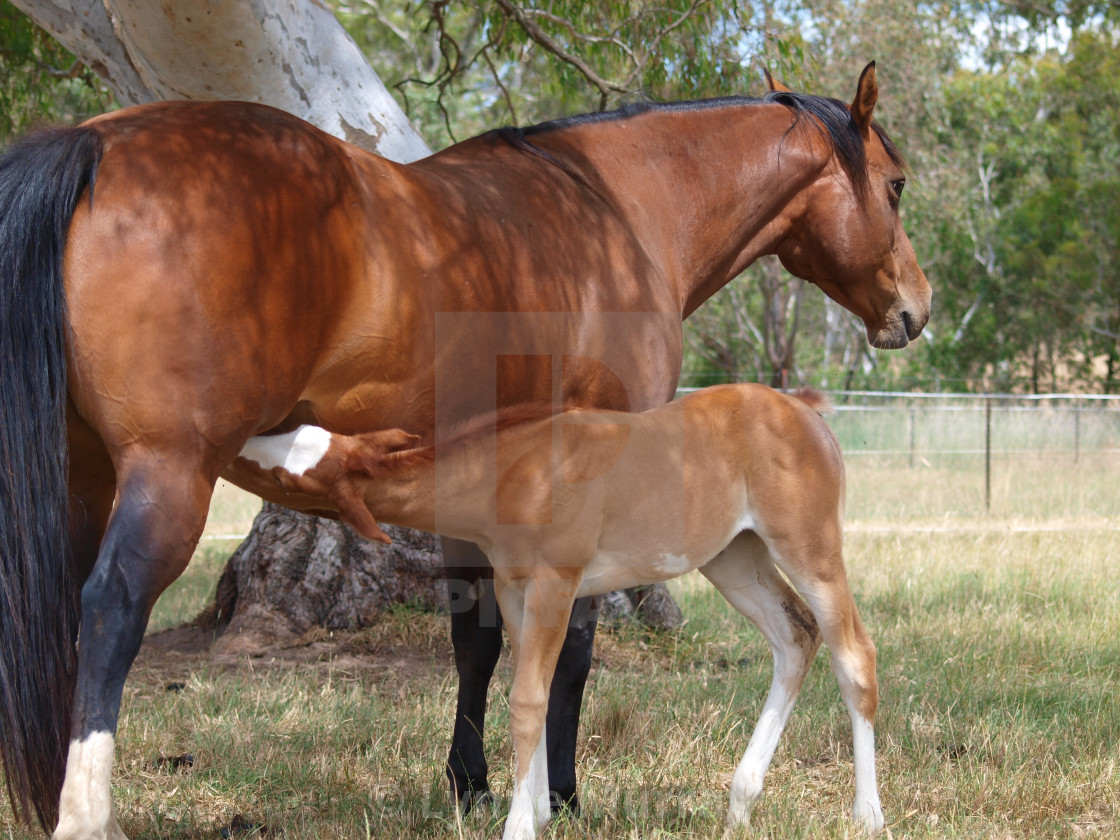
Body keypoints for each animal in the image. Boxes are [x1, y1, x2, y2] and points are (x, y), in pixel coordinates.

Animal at [238, 385, 882, 837]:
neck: (514, 475)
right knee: (795, 636)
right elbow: (536, 692)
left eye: (289, 475)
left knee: (853, 654)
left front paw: (521, 826)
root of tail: (805, 412)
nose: (242, 438)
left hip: (811, 551)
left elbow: (527, 699)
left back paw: (866, 815)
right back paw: (741, 802)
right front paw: (541, 813)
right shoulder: (514, 590)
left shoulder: (557, 582)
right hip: (733, 558)